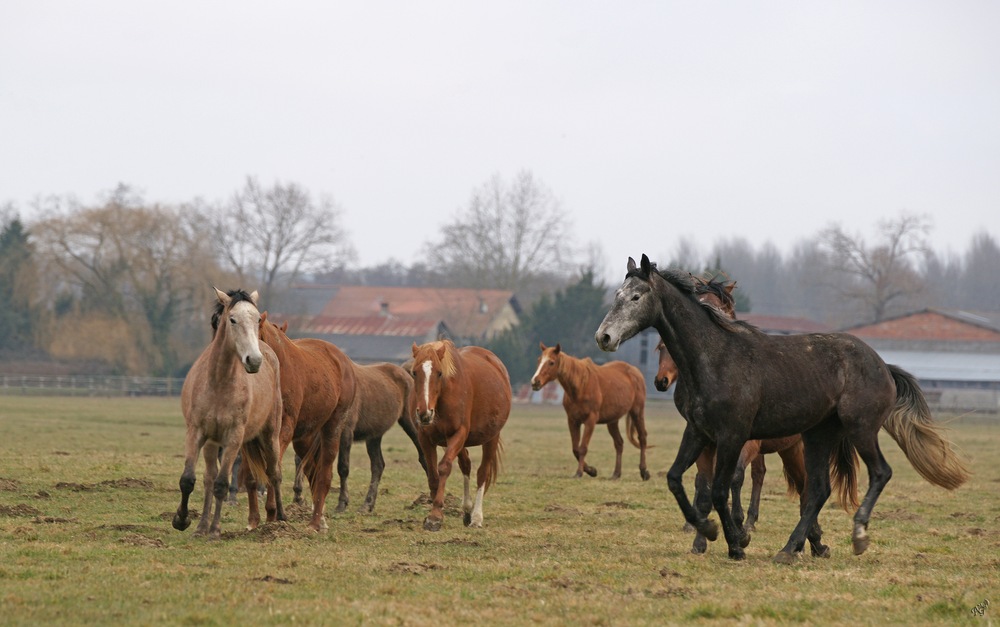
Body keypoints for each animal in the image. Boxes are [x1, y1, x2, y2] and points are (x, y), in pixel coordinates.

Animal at [173, 290, 286, 540]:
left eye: (257, 319)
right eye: (232, 319)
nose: (254, 360)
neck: (219, 381)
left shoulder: (234, 438)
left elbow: (222, 484)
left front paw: (215, 530)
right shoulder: (197, 433)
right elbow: (190, 480)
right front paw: (184, 521)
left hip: (270, 435)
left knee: (274, 473)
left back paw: (281, 518)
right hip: (214, 443)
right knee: (208, 478)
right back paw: (202, 526)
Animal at [258, 318, 356, 528]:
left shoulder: (284, 430)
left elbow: (274, 467)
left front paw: (273, 514)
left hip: (332, 428)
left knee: (324, 475)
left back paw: (315, 523)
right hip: (305, 439)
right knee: (313, 472)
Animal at [410, 340, 512, 532]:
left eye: (439, 373)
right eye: (414, 372)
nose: (425, 413)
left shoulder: (458, 434)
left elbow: (444, 468)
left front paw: (435, 516)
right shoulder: (425, 439)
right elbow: (433, 475)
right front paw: (435, 513)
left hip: (491, 437)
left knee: (482, 473)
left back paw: (476, 517)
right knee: (466, 465)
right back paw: (466, 510)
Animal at [528, 344, 652, 480]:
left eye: (551, 362)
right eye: (539, 360)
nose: (535, 382)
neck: (581, 386)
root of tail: (636, 372)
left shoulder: (590, 421)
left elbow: (582, 448)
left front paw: (579, 472)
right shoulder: (573, 421)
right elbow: (575, 449)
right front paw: (591, 470)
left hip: (637, 412)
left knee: (642, 438)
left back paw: (644, 471)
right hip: (612, 421)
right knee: (619, 443)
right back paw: (616, 474)